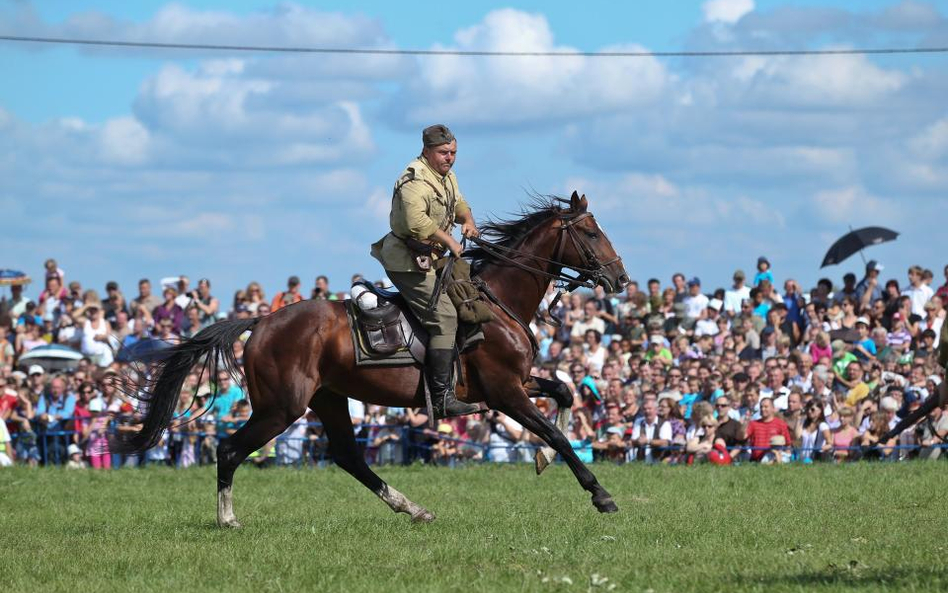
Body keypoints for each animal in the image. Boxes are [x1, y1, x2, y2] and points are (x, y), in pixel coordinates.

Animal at [115, 192, 628, 524]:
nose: (621, 279)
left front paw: (543, 458)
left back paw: (412, 508)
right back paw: (227, 519)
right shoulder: (505, 392)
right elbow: (557, 435)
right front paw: (600, 495)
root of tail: (261, 323)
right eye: (590, 232)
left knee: (347, 457)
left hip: (327, 399)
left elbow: (564, 393)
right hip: (282, 407)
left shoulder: (517, 384)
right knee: (229, 449)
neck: (497, 301)